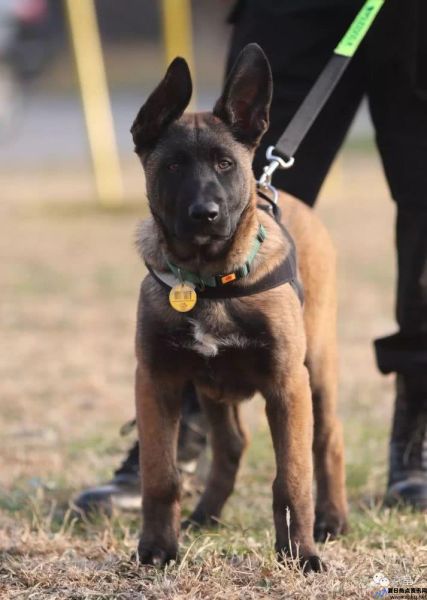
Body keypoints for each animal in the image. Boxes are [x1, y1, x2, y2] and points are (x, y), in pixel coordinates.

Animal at [130, 41, 348, 572]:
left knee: (328, 440)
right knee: (231, 446)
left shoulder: (288, 385)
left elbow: (292, 479)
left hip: (318, 366)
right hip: (211, 390)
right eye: (173, 166)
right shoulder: (157, 380)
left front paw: (301, 554)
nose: (205, 215)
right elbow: (160, 476)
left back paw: (333, 520)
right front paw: (157, 548)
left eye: (226, 164)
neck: (209, 280)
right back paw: (205, 515)